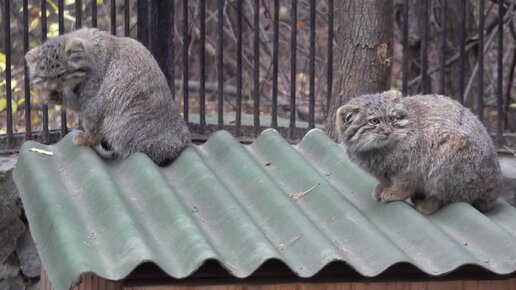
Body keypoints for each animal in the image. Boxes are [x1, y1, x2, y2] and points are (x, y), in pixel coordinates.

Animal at [24, 28, 189, 168]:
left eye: (61, 75)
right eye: (44, 78)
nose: (53, 88)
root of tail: (181, 140)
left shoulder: (93, 101)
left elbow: (91, 122)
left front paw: (88, 139)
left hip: (117, 126)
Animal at [336, 89, 502, 214]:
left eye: (391, 119)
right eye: (374, 121)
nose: (388, 132)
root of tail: (493, 188)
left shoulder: (412, 165)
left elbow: (406, 183)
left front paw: (395, 192)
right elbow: (385, 179)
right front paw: (382, 187)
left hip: (450, 156)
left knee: (448, 194)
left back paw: (428, 205)